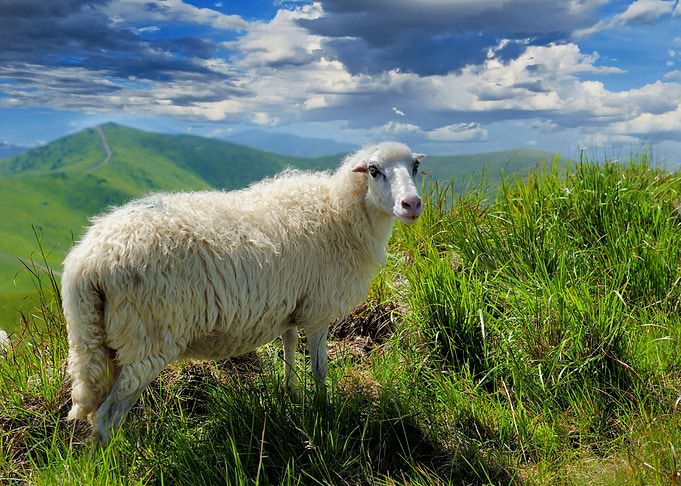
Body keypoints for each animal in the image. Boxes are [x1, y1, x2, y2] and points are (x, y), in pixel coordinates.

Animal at [62, 141, 426, 445]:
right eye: (374, 170)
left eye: (415, 166)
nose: (412, 204)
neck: (340, 212)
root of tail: (87, 262)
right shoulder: (318, 311)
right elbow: (320, 369)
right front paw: (324, 411)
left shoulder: (292, 308)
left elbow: (289, 350)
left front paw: (291, 395)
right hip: (146, 340)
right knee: (106, 418)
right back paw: (114, 461)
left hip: (105, 341)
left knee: (100, 409)